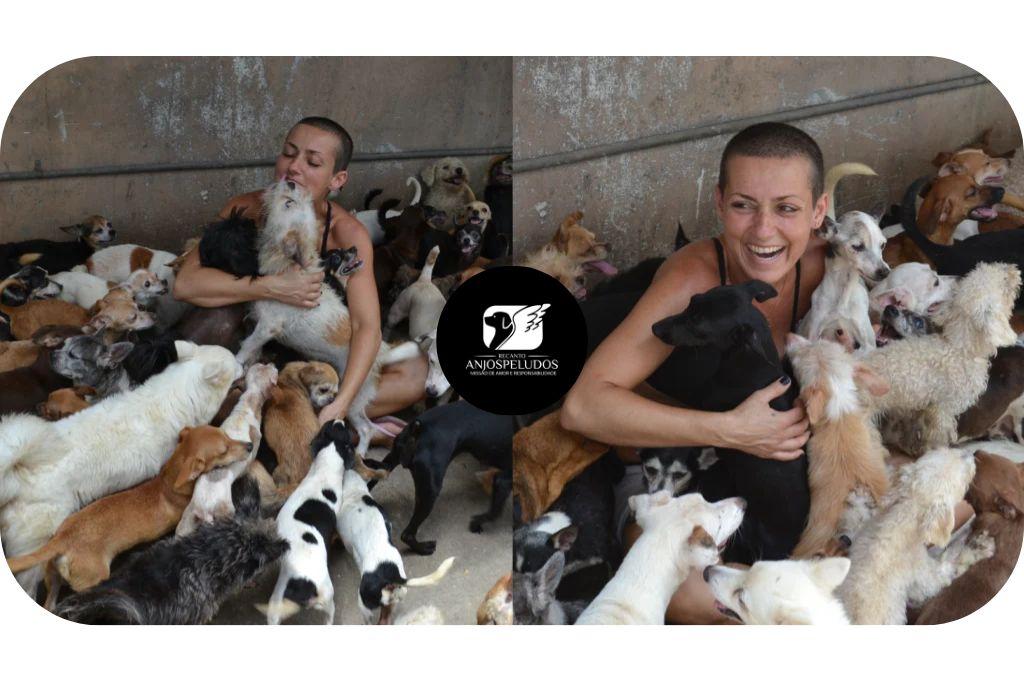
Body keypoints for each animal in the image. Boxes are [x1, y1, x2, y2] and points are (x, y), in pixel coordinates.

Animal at [6, 425, 251, 609]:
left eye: (227, 434)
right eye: (224, 450)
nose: (250, 446)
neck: (168, 481)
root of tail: (62, 539)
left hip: (52, 578)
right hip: (93, 579)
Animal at [176, 363, 277, 537]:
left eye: (261, 365)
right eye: (267, 367)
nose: (272, 363)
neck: (248, 403)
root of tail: (203, 511)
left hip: (187, 518)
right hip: (227, 512)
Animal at [380, 399, 514, 555]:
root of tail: (417, 430)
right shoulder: (504, 480)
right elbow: (494, 513)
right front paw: (475, 523)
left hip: (388, 464)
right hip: (430, 492)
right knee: (407, 534)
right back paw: (423, 548)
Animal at [799, 213, 890, 353]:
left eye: (883, 245)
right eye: (857, 246)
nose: (885, 272)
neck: (844, 288)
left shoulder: (867, 345)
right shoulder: (814, 335)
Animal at [837, 448, 991, 624]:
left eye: (943, 449)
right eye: (963, 479)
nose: (971, 453)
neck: (901, 521)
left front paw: (861, 498)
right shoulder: (923, 578)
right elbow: (949, 565)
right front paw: (978, 548)